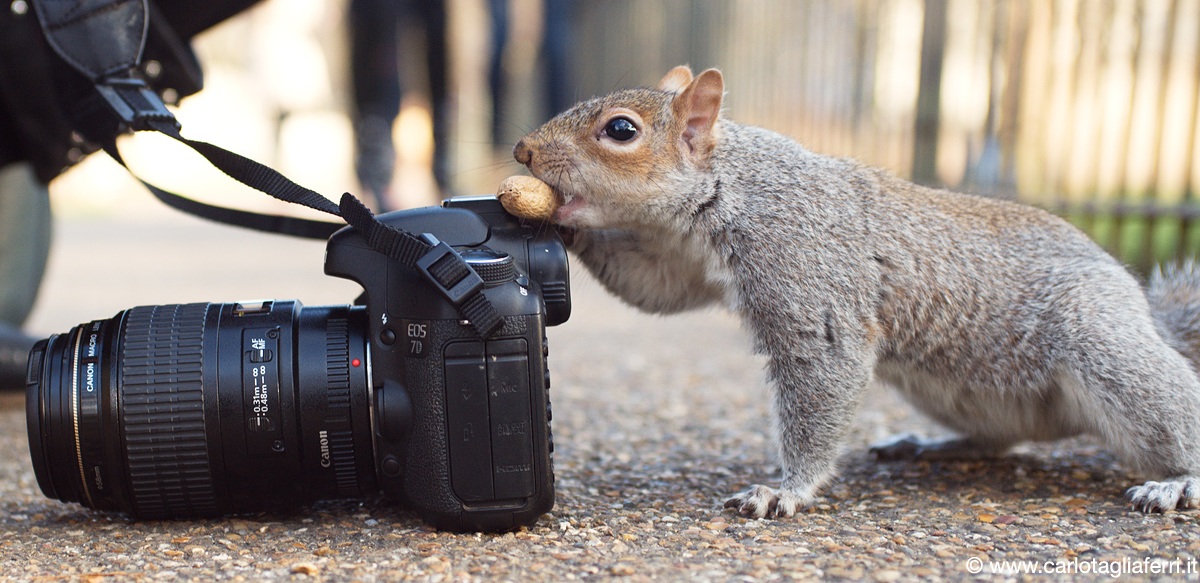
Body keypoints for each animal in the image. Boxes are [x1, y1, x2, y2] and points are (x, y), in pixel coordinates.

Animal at [512, 65, 1200, 517]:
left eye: (620, 130)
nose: (521, 150)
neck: (732, 189)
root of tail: (1145, 313)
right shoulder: (680, 265)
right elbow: (652, 291)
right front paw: (552, 222)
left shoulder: (808, 271)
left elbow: (824, 367)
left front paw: (784, 490)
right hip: (970, 393)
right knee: (1005, 436)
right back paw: (931, 446)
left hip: (1102, 342)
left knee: (1170, 409)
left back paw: (1175, 483)